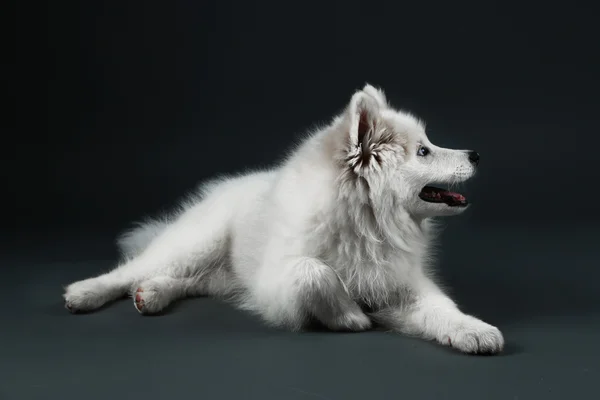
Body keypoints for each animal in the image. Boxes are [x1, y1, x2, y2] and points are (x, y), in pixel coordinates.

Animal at [63, 83, 504, 354]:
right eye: (424, 151)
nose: (477, 155)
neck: (366, 222)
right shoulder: (277, 281)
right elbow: (315, 273)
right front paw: (349, 317)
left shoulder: (400, 285)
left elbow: (442, 309)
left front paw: (475, 331)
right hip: (196, 243)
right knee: (131, 270)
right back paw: (86, 292)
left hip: (215, 272)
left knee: (185, 281)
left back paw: (152, 294)